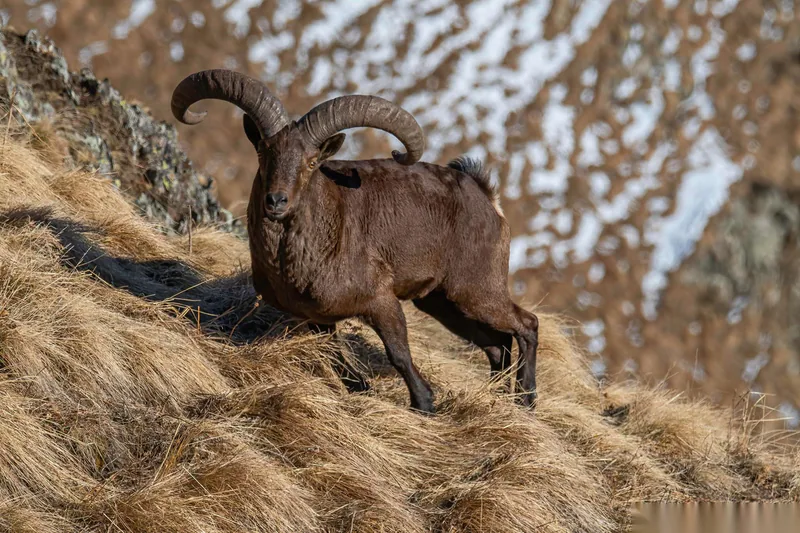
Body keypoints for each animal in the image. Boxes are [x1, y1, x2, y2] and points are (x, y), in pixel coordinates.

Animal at [171, 69, 539, 414]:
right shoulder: (318, 318)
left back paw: (527, 399)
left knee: (526, 325)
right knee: (496, 344)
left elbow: (398, 354)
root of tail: (485, 196)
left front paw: (424, 403)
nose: (276, 202)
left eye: (311, 163)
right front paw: (361, 386)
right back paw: (499, 397)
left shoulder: (380, 299)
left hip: (475, 289)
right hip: (441, 302)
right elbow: (335, 356)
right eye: (263, 152)